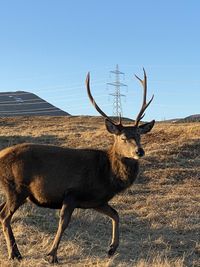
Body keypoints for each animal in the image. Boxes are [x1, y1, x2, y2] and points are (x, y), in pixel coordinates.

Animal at [0, 68, 155, 264]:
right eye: (123, 137)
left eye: (139, 135)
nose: (139, 151)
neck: (106, 175)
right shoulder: (71, 193)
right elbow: (63, 223)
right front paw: (52, 255)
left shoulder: (96, 200)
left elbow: (115, 214)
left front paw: (111, 249)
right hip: (16, 188)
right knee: (5, 216)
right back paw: (14, 253)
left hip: (14, 191)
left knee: (1, 211)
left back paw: (16, 252)